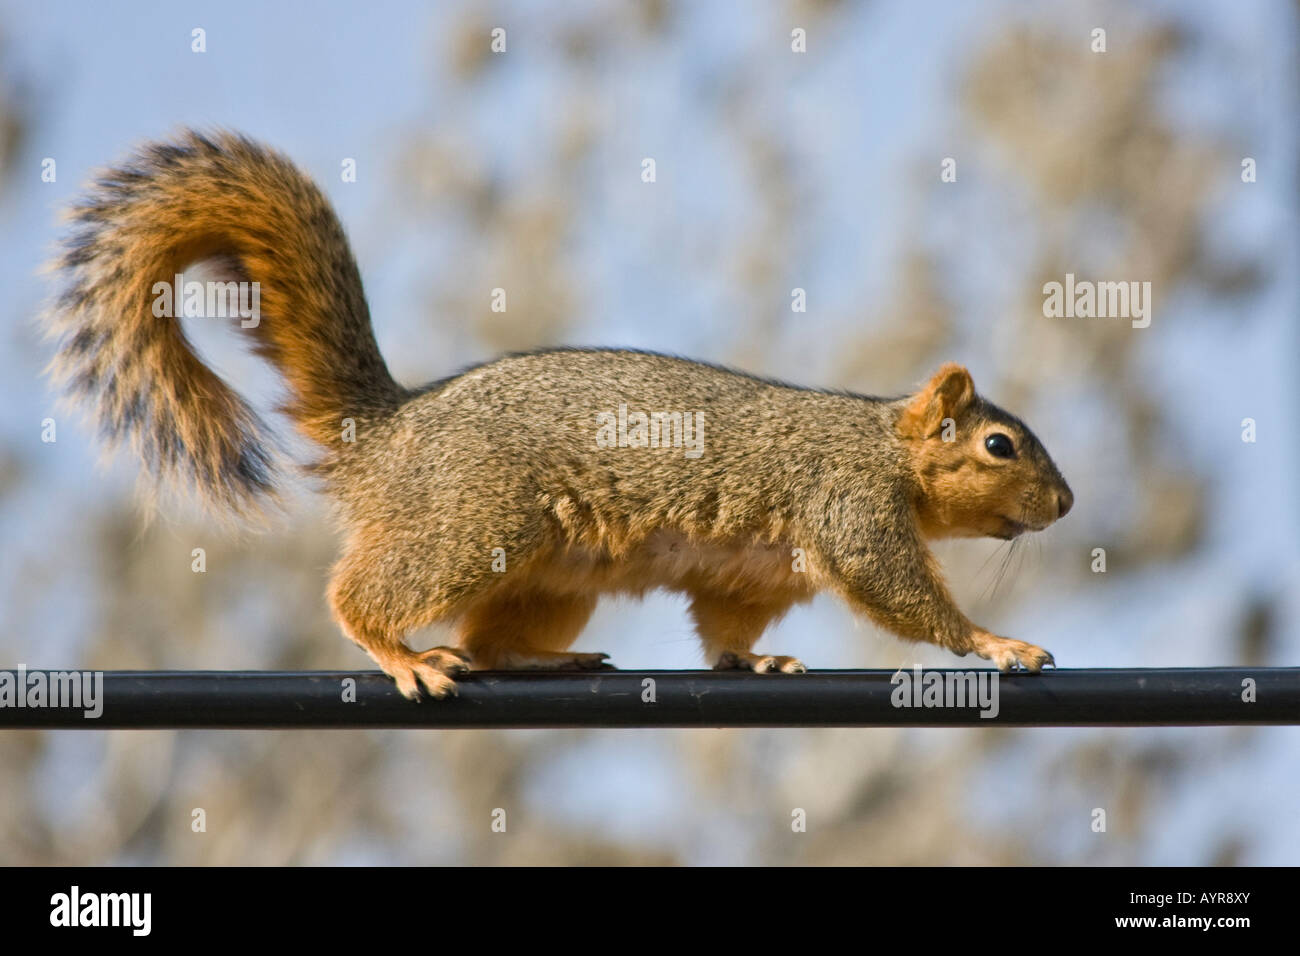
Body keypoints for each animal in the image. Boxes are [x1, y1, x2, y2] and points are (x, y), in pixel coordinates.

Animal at [43, 131, 1074, 699]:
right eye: (999, 444)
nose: (1066, 506)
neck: (881, 446)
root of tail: (390, 433)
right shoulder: (849, 507)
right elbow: (902, 593)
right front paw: (997, 642)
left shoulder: (751, 574)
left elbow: (726, 628)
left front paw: (755, 665)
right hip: (471, 520)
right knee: (365, 597)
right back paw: (401, 654)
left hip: (545, 576)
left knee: (491, 641)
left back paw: (542, 664)